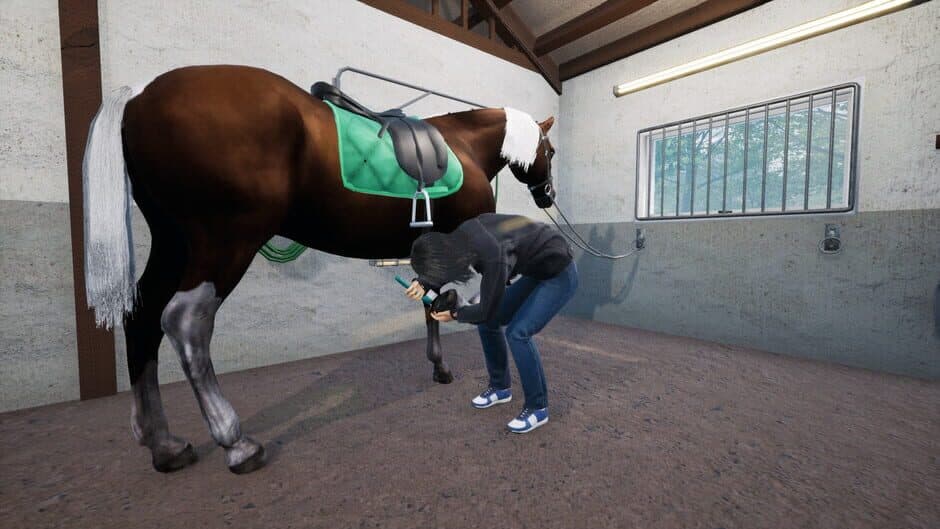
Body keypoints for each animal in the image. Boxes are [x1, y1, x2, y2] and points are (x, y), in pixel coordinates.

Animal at [82, 65, 557, 474]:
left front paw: (439, 368)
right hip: (225, 241)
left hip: (172, 243)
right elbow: (452, 302)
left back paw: (163, 444)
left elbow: (431, 301)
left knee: (142, 317)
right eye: (549, 150)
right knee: (186, 322)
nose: (547, 195)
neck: (464, 146)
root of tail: (140, 96)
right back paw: (236, 443)